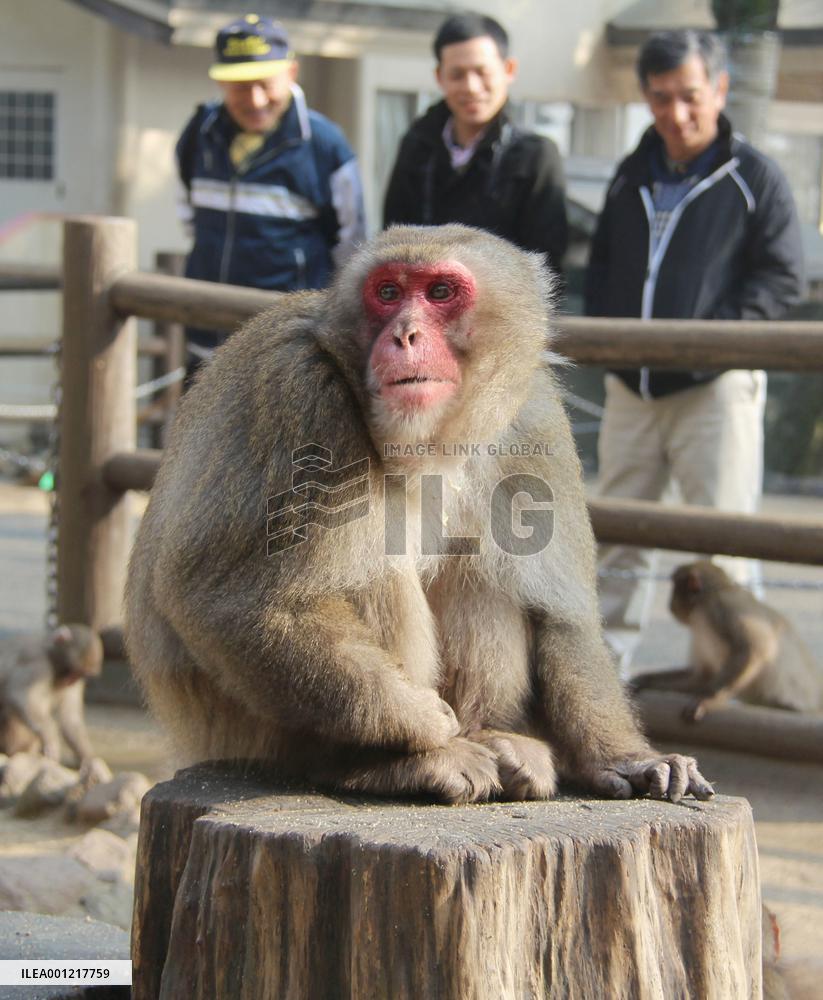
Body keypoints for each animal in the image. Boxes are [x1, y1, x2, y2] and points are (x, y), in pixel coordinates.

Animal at [0, 624, 102, 765]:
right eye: (72, 672)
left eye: (79, 675)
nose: (70, 682)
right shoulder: (37, 664)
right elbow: (17, 695)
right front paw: (51, 737)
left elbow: (70, 719)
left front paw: (89, 758)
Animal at [125, 224, 713, 805]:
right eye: (387, 292)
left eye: (440, 292)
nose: (404, 335)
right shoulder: (300, 393)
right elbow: (233, 600)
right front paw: (424, 722)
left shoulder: (535, 417)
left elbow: (560, 613)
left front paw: (624, 757)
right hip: (244, 728)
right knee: (367, 560)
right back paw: (384, 763)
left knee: (481, 567)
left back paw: (492, 735)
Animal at [629, 560, 823, 722]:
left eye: (674, 588)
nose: (670, 603)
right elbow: (702, 675)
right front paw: (647, 680)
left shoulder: (720, 608)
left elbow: (753, 649)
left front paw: (708, 699)